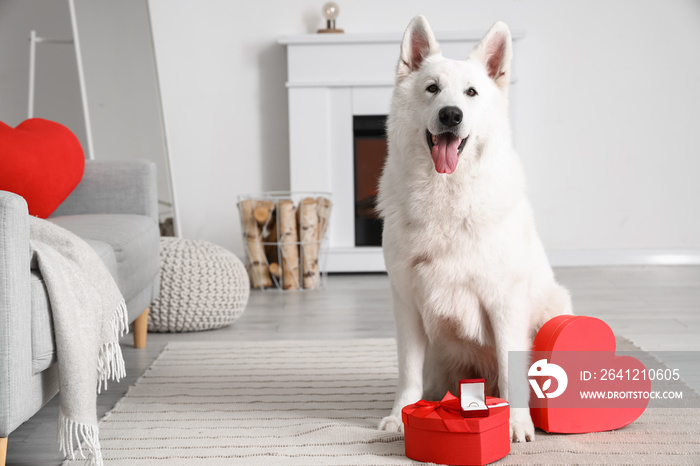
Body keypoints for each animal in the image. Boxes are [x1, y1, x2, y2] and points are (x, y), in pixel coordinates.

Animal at [374, 16, 572, 442]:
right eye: (432, 88)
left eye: (471, 93)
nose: (451, 115)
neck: (447, 194)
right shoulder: (406, 304)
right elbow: (407, 372)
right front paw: (400, 416)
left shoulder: (504, 302)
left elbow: (512, 369)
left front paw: (516, 423)